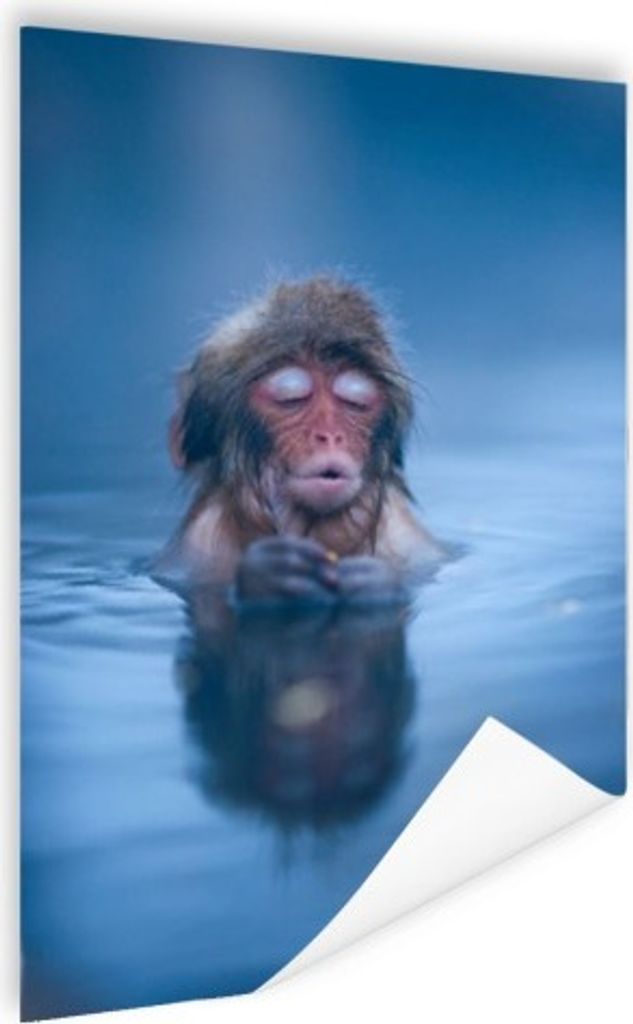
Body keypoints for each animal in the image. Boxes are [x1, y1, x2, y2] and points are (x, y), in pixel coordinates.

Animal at [158, 276, 446, 604]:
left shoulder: (407, 537)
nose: (330, 436)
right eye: (290, 400)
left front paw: (374, 583)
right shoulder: (199, 543)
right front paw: (268, 574)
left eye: (355, 403)